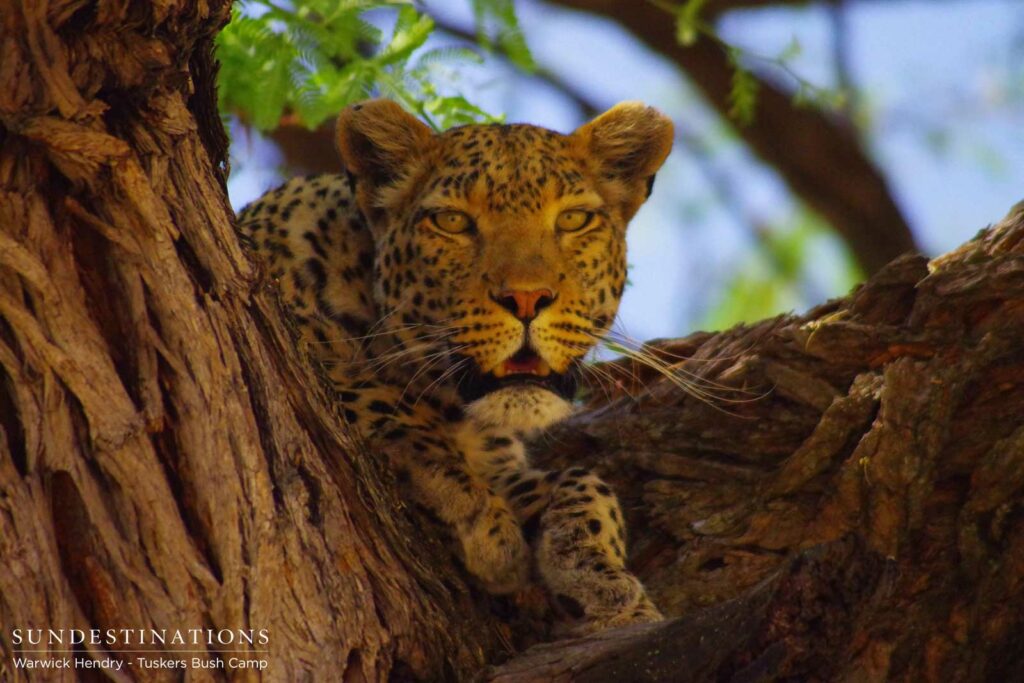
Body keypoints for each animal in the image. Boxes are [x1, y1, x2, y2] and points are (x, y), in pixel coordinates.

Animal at [236, 99, 674, 635]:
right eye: (452, 221)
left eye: (573, 220)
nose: (526, 298)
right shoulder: (291, 321)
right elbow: (382, 404)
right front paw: (484, 526)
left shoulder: (500, 457)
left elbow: (585, 482)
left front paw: (605, 580)